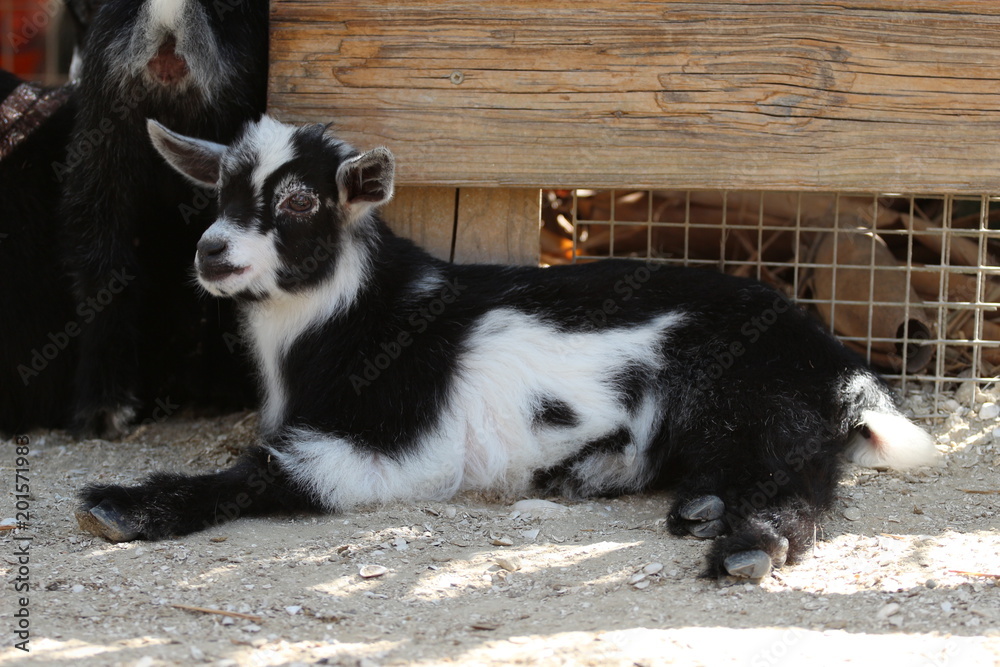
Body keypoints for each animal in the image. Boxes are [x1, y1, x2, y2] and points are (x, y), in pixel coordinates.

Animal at [76, 116, 938, 578]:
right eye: (218, 190)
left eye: (298, 202)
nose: (212, 252)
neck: (358, 314)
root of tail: (841, 365)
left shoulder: (396, 445)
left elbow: (275, 469)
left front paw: (121, 505)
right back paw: (666, 495)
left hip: (758, 397)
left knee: (800, 479)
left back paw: (747, 544)